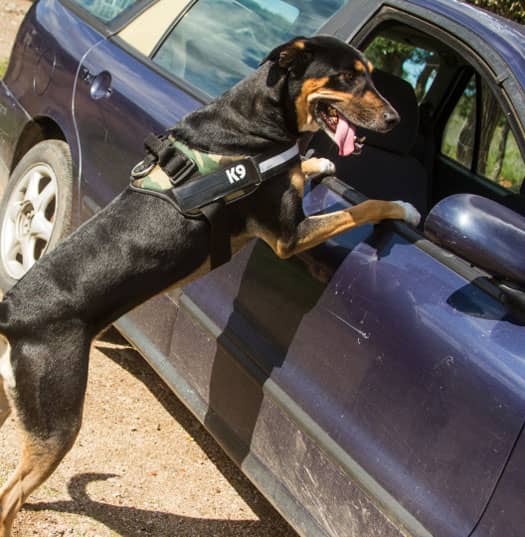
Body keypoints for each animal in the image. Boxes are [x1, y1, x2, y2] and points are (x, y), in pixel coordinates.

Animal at [0, 35, 418, 532]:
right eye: (346, 77)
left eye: (370, 75)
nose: (395, 120)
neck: (252, 122)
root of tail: (13, 311)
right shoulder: (289, 237)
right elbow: (364, 207)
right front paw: (405, 208)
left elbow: (307, 169)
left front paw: (317, 160)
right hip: (57, 423)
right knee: (9, 498)